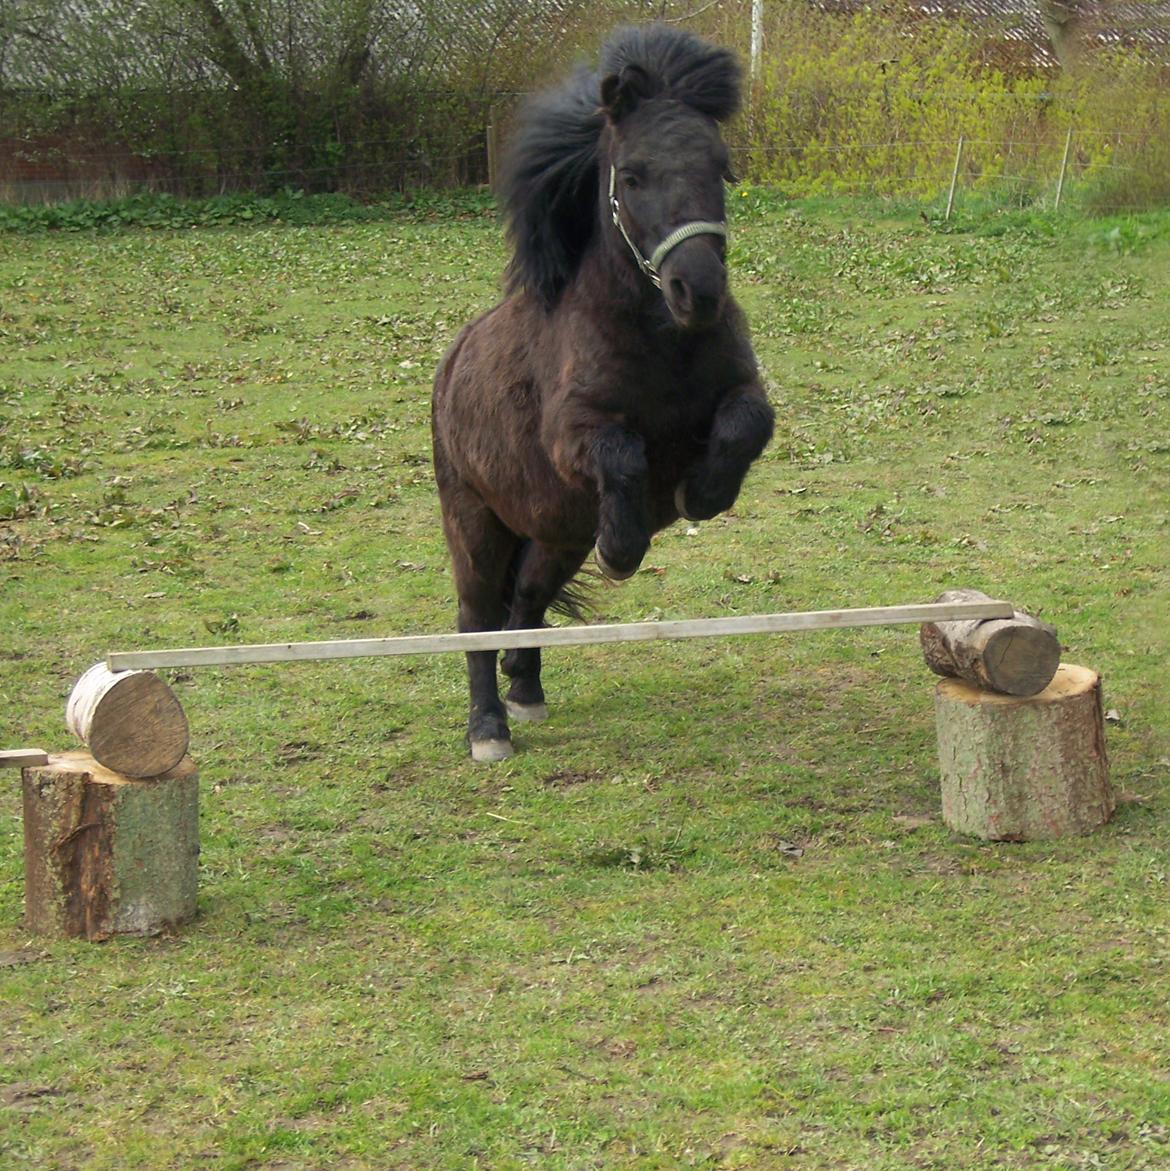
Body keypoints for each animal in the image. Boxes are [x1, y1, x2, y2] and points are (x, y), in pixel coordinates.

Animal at [435, 27, 772, 763]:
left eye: (721, 168)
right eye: (634, 174)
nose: (699, 292)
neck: (661, 339)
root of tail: (451, 362)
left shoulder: (741, 390)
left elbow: (748, 424)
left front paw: (699, 494)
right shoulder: (574, 434)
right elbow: (622, 454)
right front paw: (624, 549)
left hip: (557, 532)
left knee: (527, 600)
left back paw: (526, 689)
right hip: (476, 522)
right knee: (477, 619)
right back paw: (488, 728)